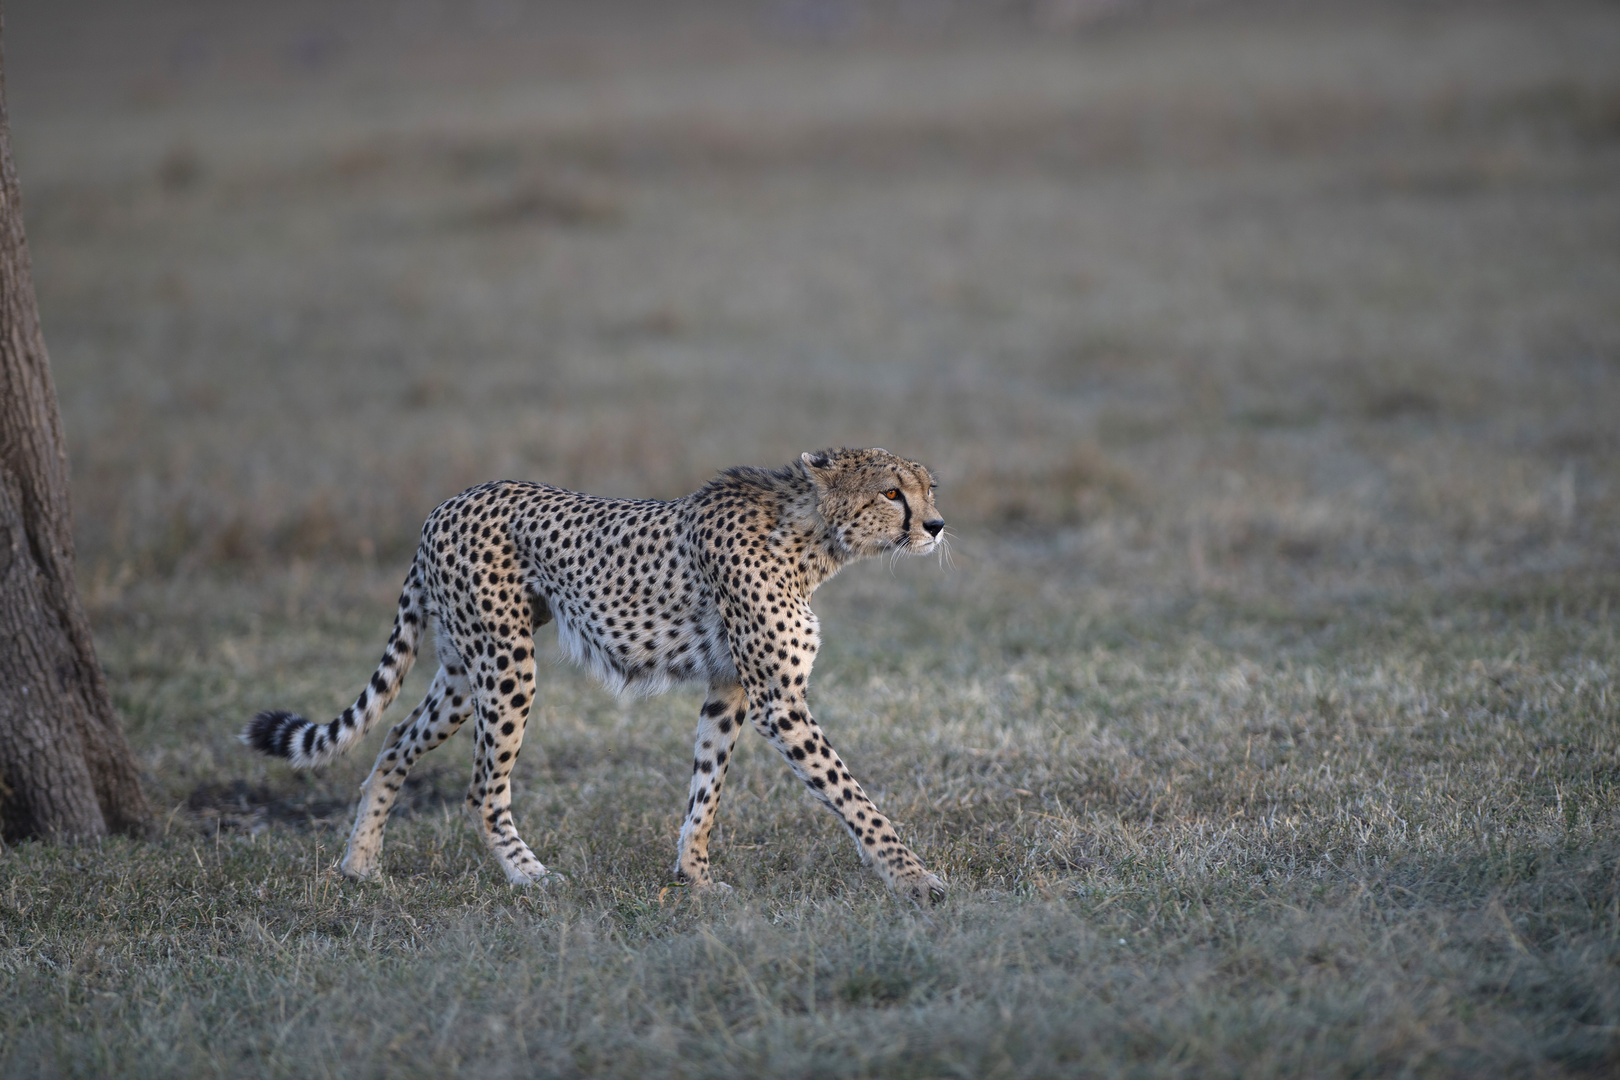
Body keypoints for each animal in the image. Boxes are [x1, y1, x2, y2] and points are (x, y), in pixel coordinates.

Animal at [241, 446, 946, 906]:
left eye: (927, 489)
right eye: (891, 492)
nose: (937, 526)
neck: (813, 537)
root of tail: (446, 504)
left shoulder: (729, 690)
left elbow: (706, 790)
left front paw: (693, 877)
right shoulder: (779, 702)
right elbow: (852, 796)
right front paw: (913, 877)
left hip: (463, 671)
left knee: (394, 740)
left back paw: (360, 864)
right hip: (506, 665)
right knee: (481, 788)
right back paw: (529, 876)